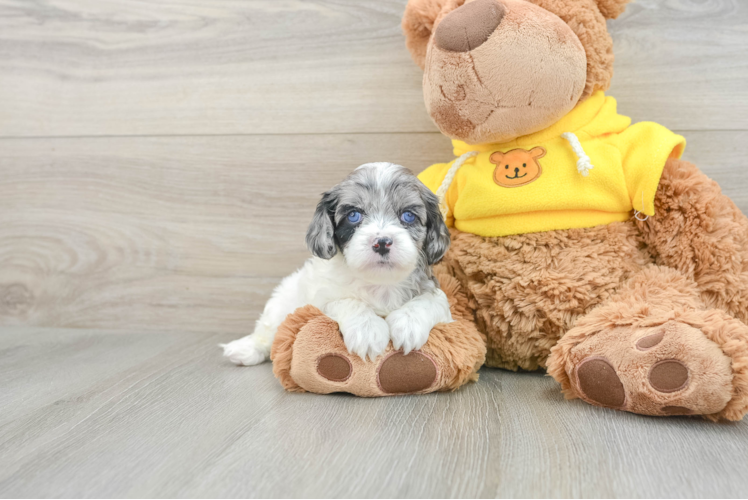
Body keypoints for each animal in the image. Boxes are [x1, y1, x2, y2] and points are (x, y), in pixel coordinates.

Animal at [222, 162, 452, 366]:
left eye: (408, 215)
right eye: (354, 215)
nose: (382, 242)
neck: (380, 283)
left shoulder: (438, 298)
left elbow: (432, 300)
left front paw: (408, 323)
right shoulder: (321, 300)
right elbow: (346, 301)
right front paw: (367, 331)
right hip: (282, 302)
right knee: (267, 331)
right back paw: (244, 349)